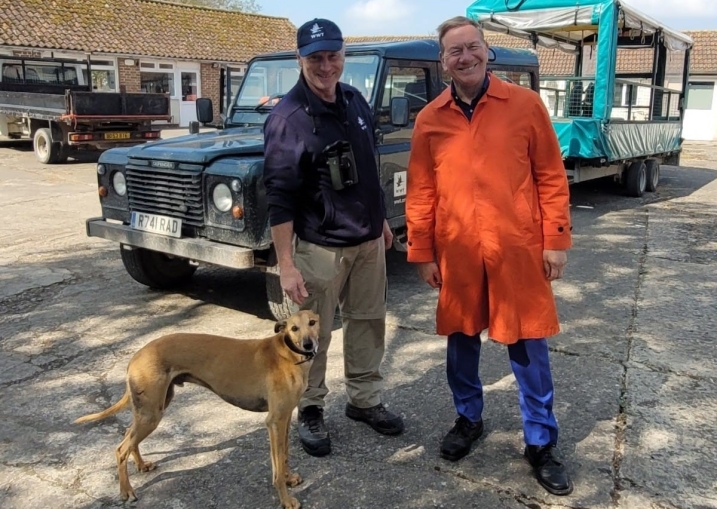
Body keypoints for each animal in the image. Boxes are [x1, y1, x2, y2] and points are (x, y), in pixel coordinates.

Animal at [75, 310, 318, 508]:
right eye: (294, 328)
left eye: (313, 322)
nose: (308, 345)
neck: (288, 353)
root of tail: (136, 356)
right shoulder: (274, 420)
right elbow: (277, 467)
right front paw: (286, 500)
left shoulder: (284, 418)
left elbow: (284, 456)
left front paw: (289, 478)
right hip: (151, 414)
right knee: (120, 449)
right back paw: (126, 492)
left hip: (151, 408)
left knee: (128, 435)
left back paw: (142, 465)